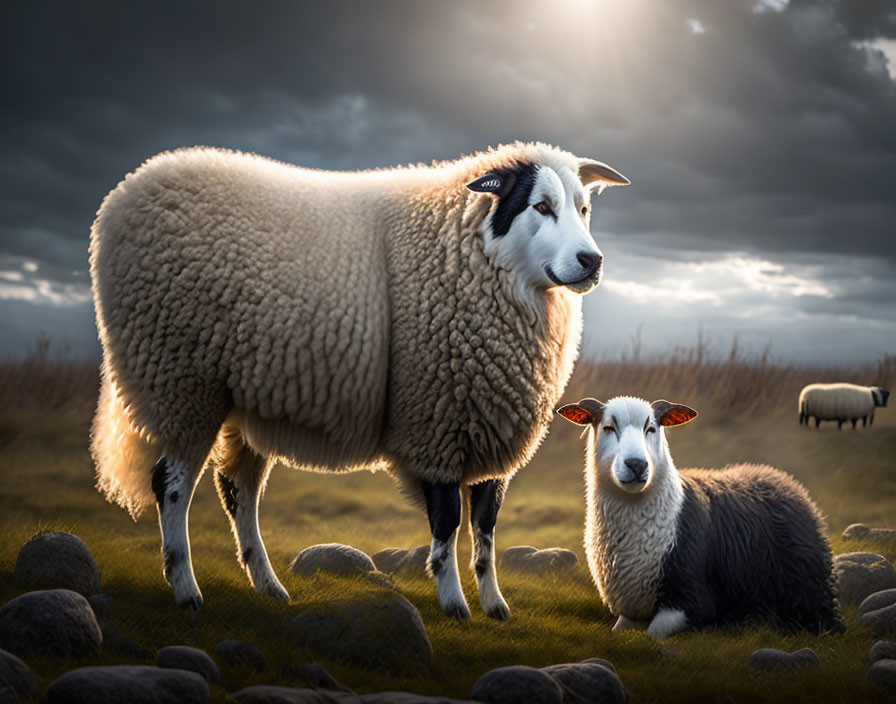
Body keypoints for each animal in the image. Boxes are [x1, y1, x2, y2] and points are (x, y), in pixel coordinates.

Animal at [86, 143, 632, 616]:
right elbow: (447, 525)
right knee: (171, 485)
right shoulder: (437, 422)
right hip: (181, 380)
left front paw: (495, 607)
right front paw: (454, 605)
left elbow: (486, 530)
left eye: (584, 208)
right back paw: (186, 589)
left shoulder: (487, 428)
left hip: (243, 399)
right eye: (540, 205)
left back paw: (268, 586)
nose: (592, 262)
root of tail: (129, 188)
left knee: (239, 491)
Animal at [556, 396, 844, 640]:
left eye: (652, 428)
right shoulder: (630, 612)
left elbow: (655, 634)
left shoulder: (691, 603)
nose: (637, 464)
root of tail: (784, 480)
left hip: (806, 591)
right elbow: (618, 631)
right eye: (608, 427)